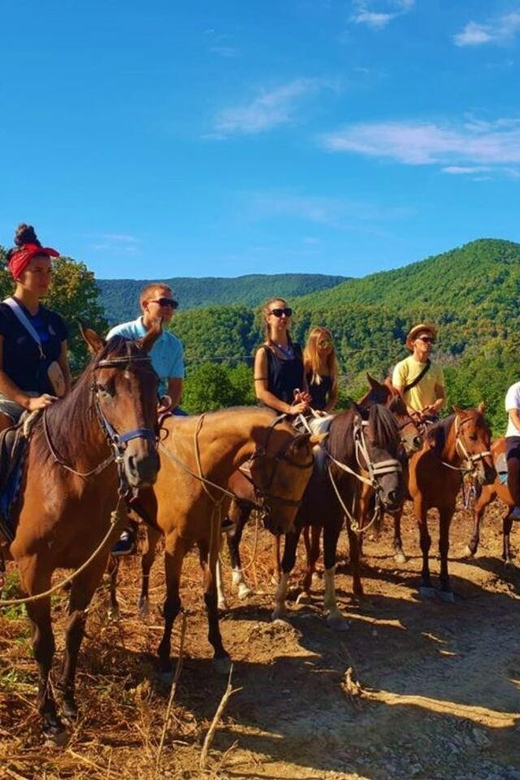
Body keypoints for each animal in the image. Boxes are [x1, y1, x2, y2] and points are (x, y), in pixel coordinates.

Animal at [0, 326, 161, 743]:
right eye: (104, 388)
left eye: (154, 384)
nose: (143, 464)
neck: (69, 476)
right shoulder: (34, 570)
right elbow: (43, 641)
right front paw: (49, 717)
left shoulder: (92, 565)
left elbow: (73, 632)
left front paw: (70, 704)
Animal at [109, 407, 320, 676]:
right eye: (286, 477)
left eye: (308, 478)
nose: (283, 527)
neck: (199, 468)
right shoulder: (175, 547)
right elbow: (172, 603)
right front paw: (165, 657)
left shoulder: (207, 541)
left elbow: (209, 596)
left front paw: (219, 649)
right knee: (112, 565)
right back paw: (113, 608)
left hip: (153, 528)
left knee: (146, 560)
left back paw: (143, 604)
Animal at [386, 405, 496, 600]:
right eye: (472, 436)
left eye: (489, 434)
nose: (489, 473)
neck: (438, 463)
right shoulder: (420, 506)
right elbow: (425, 542)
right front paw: (426, 581)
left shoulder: (448, 507)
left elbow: (444, 544)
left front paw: (445, 584)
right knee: (397, 517)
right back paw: (399, 551)